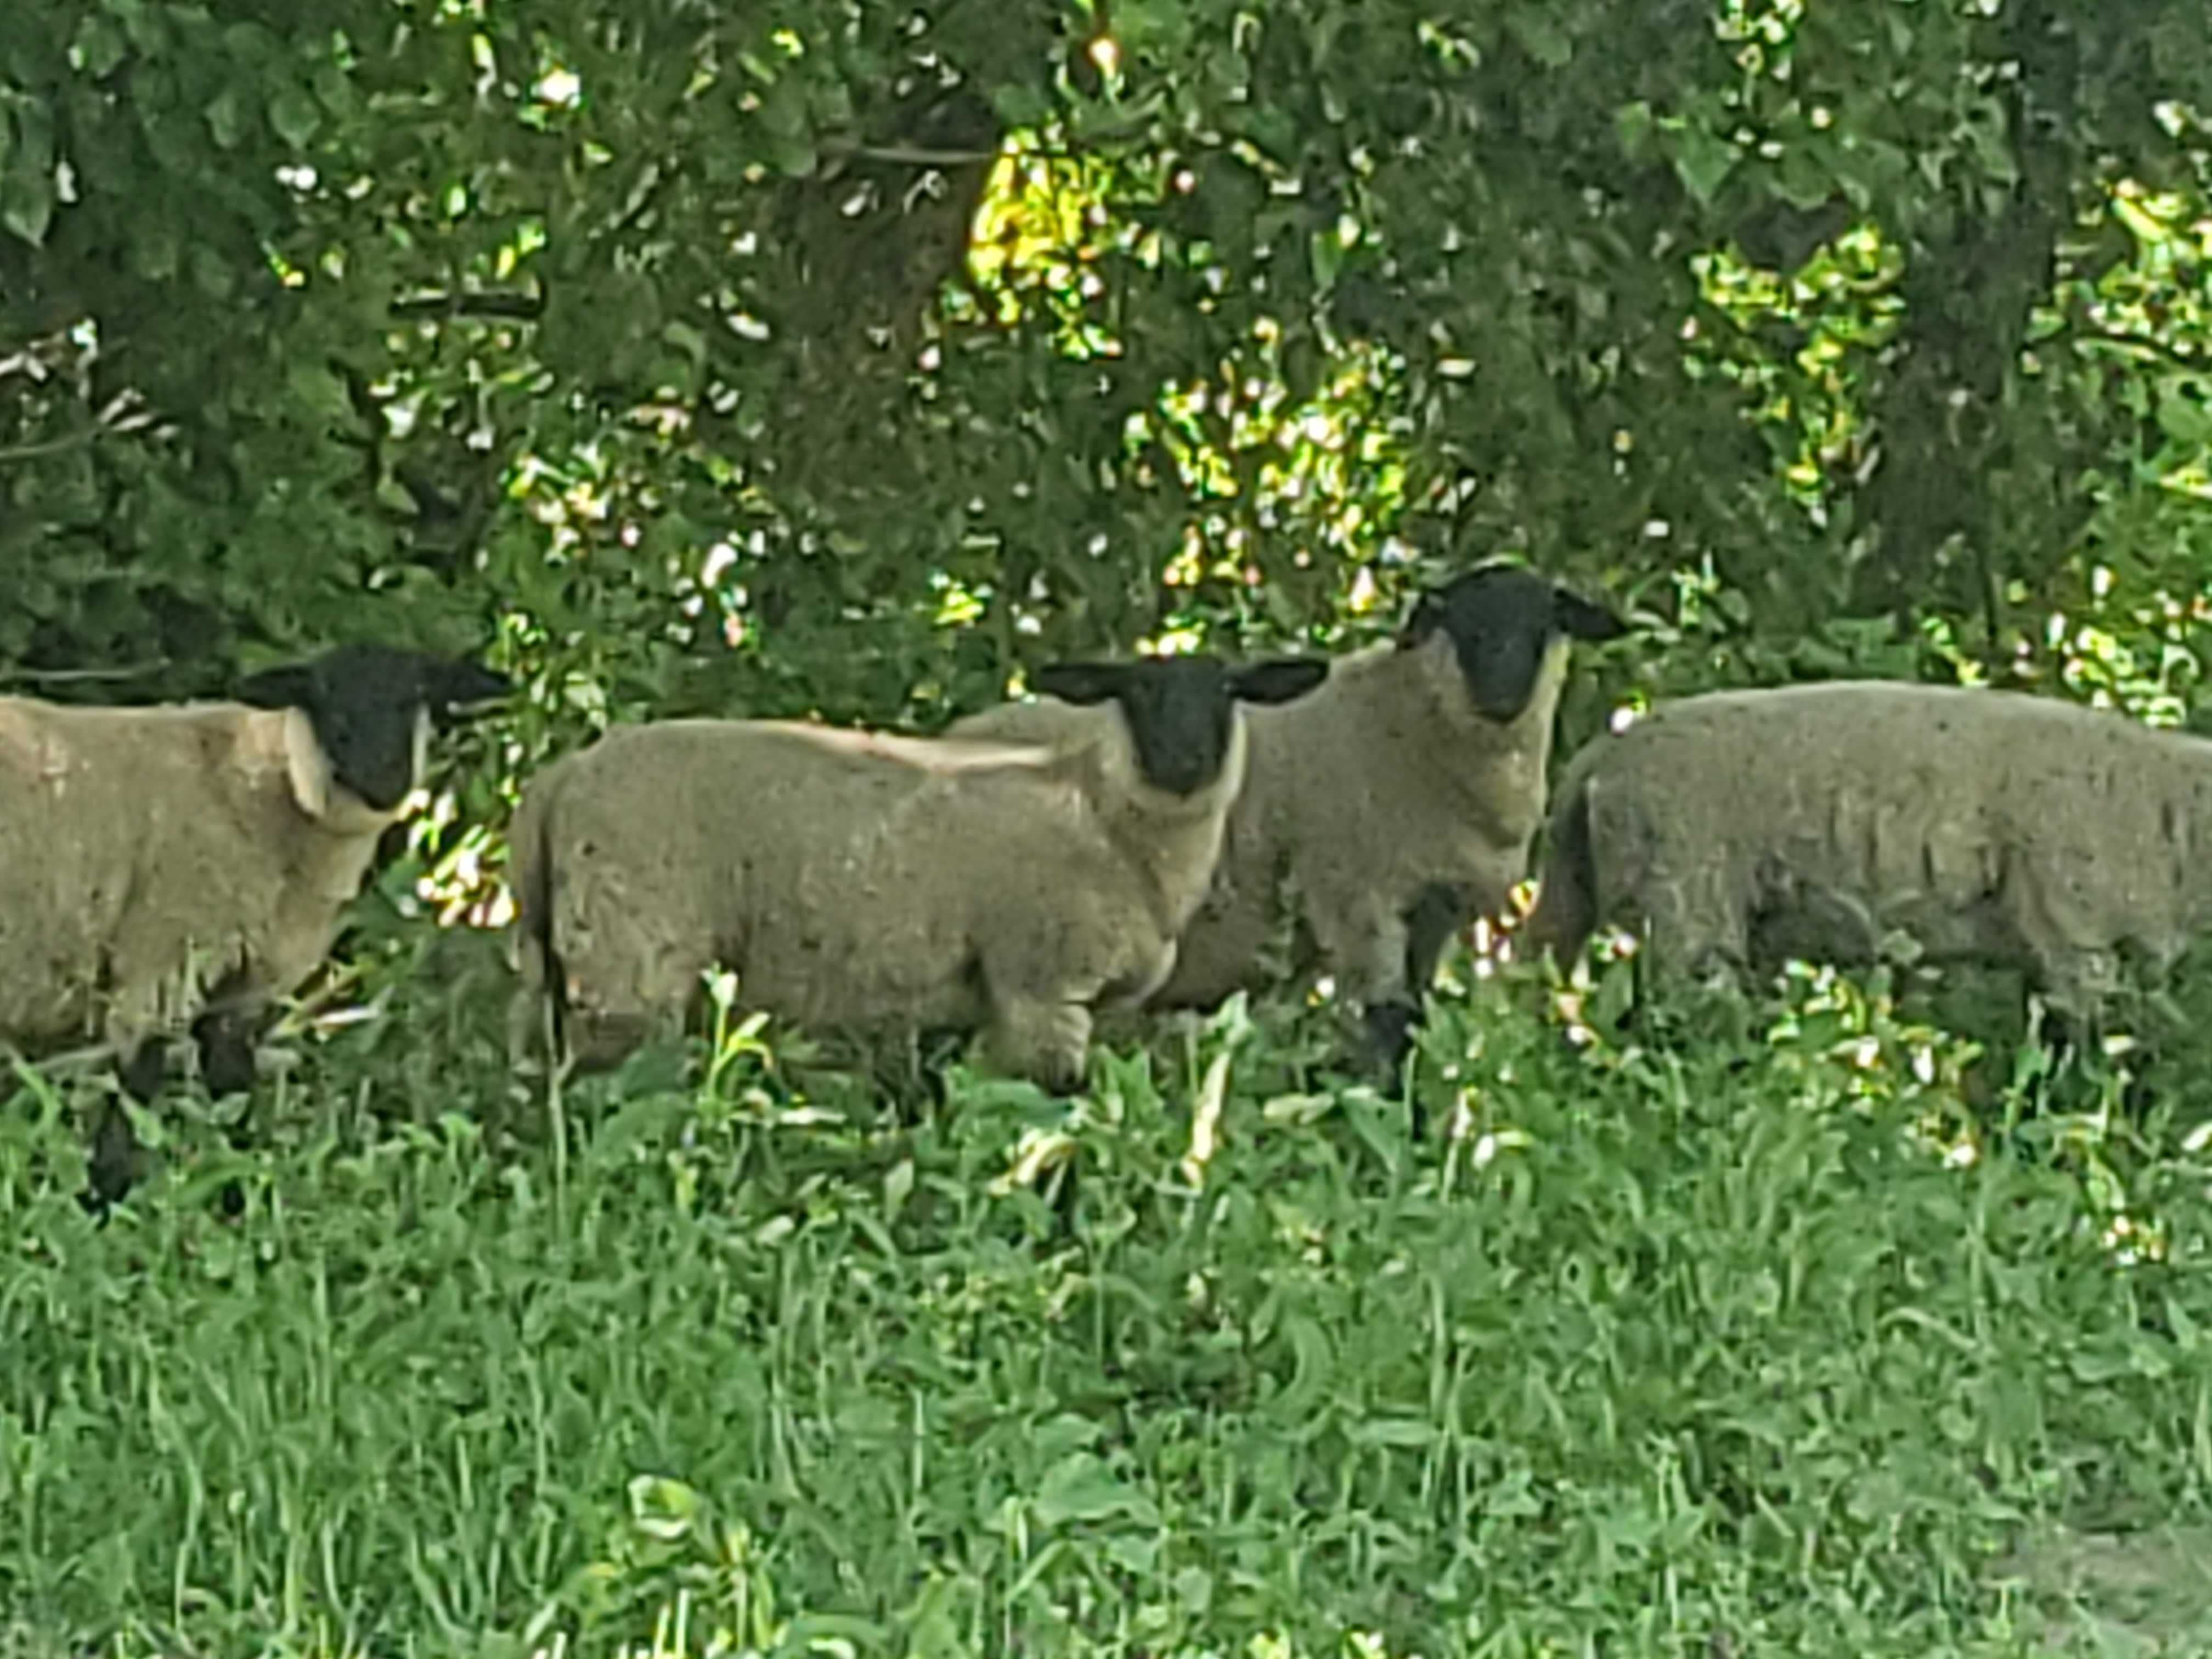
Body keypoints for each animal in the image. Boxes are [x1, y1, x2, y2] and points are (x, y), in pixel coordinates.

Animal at [2, 646, 509, 1212]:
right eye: (328, 702)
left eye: (415, 695)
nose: (386, 779)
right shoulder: (166, 948)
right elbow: (138, 1085)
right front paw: (104, 1199)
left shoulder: (245, 977)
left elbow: (231, 1085)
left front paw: (239, 1190)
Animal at [506, 654, 1318, 1097]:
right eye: (1138, 694)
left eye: (1229, 692)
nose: (1187, 762)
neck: (1108, 820)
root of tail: (561, 778)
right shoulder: (1042, 990)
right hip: (630, 957)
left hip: (559, 960)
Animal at [951, 560, 1628, 1070]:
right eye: (1466, 626)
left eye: (1543, 623)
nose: (1503, 693)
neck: (1411, 724)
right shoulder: (1358, 894)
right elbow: (1387, 1024)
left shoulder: (1435, 900)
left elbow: (1414, 1018)